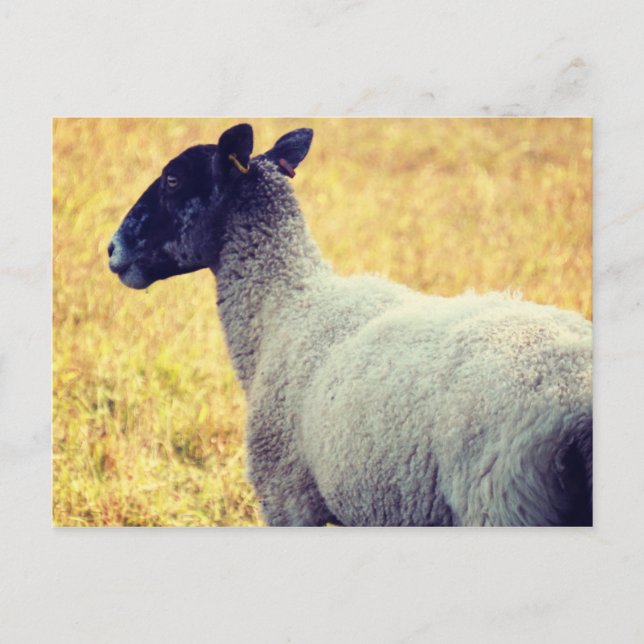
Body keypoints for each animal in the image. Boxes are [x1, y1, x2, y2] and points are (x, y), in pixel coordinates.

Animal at [108, 123, 592, 527]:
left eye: (173, 179)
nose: (111, 249)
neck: (280, 306)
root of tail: (577, 411)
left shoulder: (287, 498)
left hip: (503, 500)